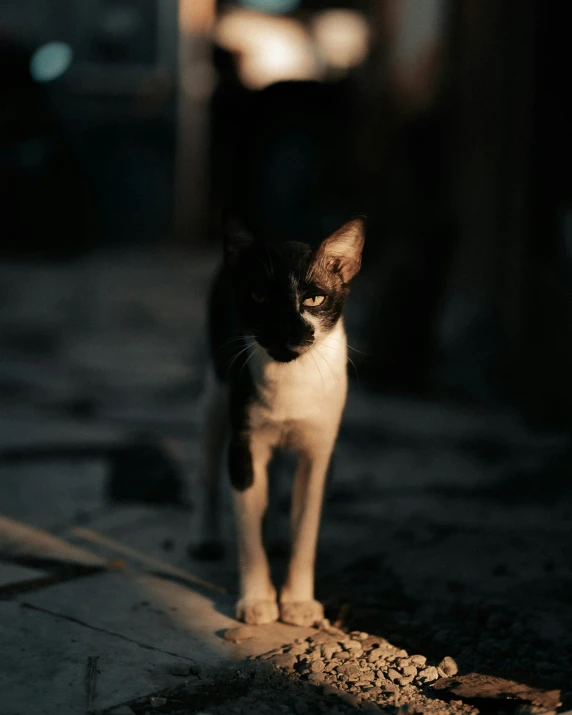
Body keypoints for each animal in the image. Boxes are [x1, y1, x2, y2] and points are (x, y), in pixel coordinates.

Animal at [196, 217, 366, 628]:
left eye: (314, 299)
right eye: (259, 296)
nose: (287, 328)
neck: (290, 379)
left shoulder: (319, 452)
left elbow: (305, 528)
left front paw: (298, 603)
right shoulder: (245, 445)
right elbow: (247, 527)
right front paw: (258, 600)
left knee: (273, 483)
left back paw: (274, 535)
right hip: (215, 396)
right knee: (208, 471)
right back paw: (206, 538)